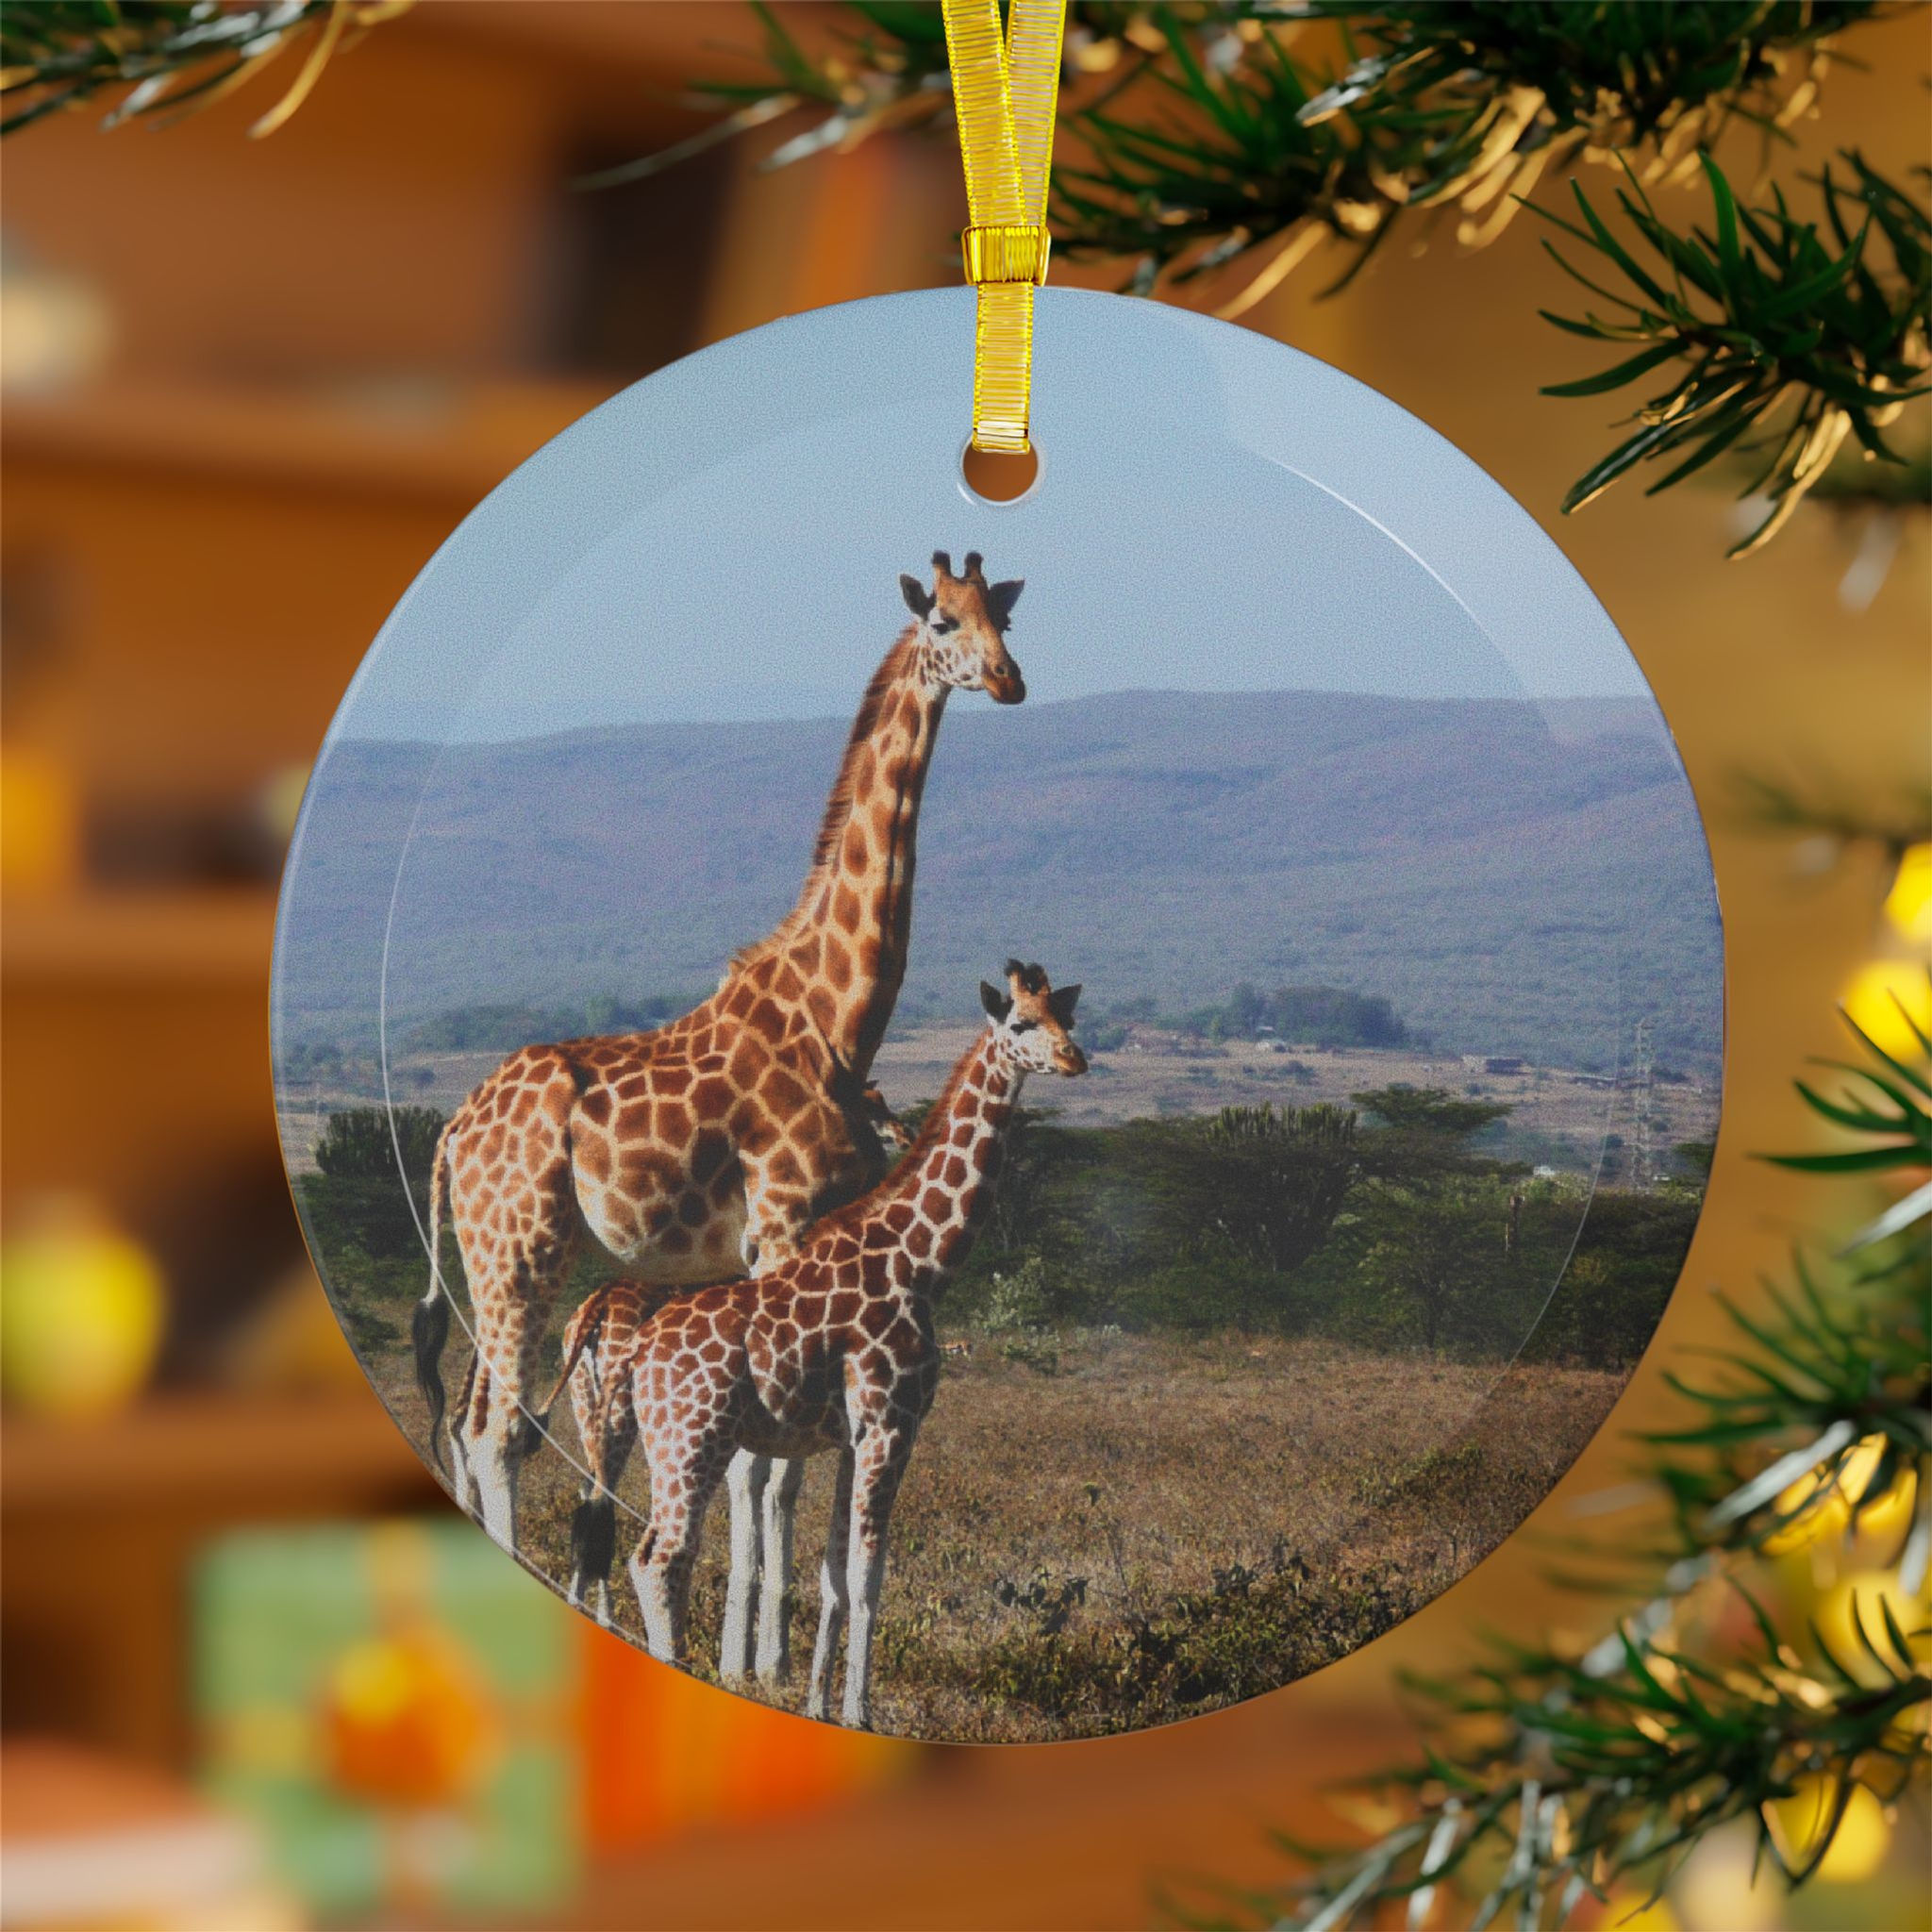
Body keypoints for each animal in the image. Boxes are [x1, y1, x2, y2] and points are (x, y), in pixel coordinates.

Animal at [413, 553, 1028, 1579]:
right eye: (943, 620)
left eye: (1006, 618)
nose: (1010, 680)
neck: (838, 1016)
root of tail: (455, 1130)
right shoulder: (780, 1227)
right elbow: (765, 1472)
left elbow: (770, 1467)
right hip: (519, 1251)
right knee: (496, 1431)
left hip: (500, 1257)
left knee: (470, 1422)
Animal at [585, 961, 1086, 1729]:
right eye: (1021, 1023)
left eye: (1068, 1017)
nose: (1073, 1059)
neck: (920, 1261)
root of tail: (640, 1349)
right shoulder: (890, 1424)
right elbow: (871, 1574)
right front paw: (859, 1714)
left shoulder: (853, 1436)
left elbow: (834, 1575)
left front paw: (820, 1703)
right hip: (692, 1437)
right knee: (659, 1558)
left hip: (674, 1438)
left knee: (653, 1550)